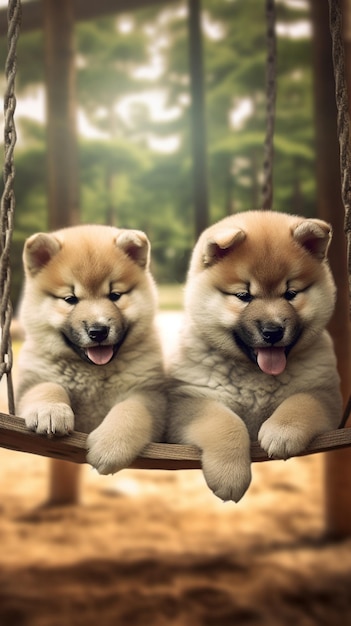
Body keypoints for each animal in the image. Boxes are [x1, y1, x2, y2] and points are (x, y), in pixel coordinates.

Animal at [17, 224, 168, 502]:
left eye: (115, 295)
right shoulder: (34, 380)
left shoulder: (148, 393)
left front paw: (111, 447)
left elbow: (130, 413)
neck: (92, 373)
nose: (98, 330)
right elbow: (47, 389)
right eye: (70, 299)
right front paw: (51, 412)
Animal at [168, 210, 344, 502]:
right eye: (243, 296)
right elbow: (224, 422)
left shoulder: (325, 394)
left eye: (291, 294)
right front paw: (229, 475)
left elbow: (302, 402)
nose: (273, 331)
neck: (256, 378)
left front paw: (282, 432)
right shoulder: (188, 399)